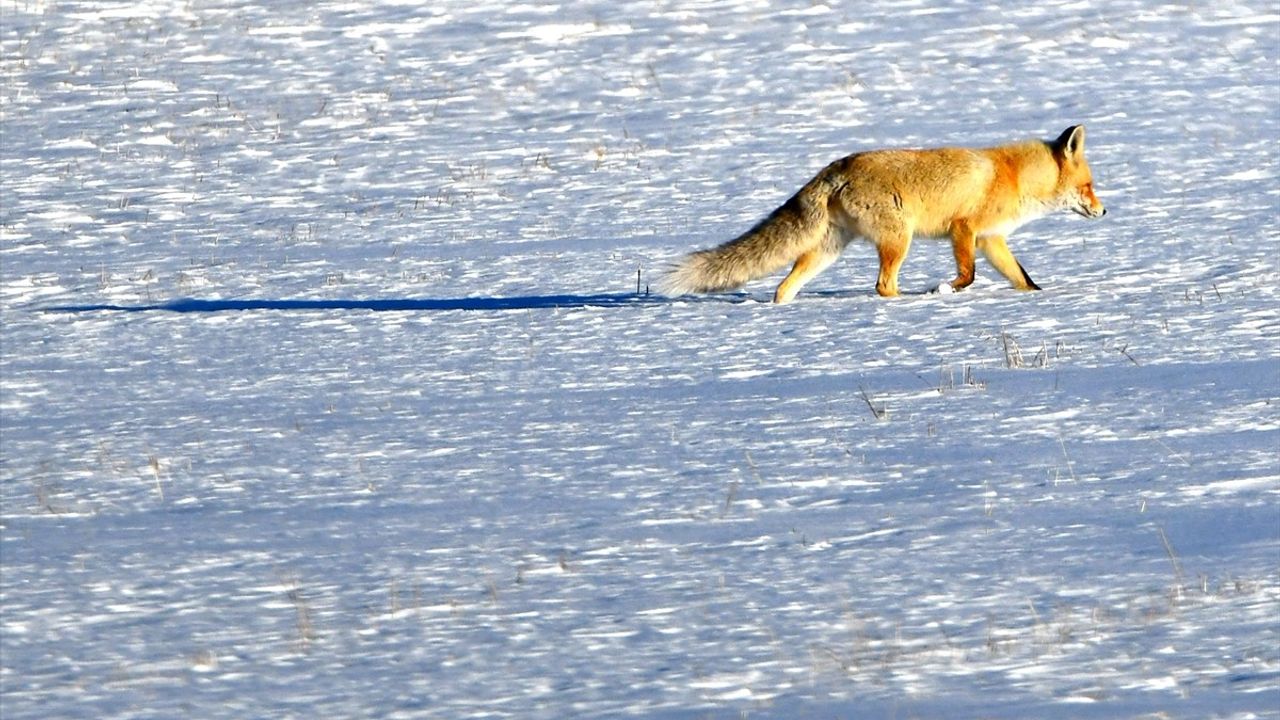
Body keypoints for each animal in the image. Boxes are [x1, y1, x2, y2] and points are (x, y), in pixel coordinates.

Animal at [660, 124, 1100, 301]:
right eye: (1089, 186)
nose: (1104, 210)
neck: (1013, 177)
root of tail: (837, 167)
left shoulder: (991, 239)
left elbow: (1022, 278)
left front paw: (1036, 297)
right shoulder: (965, 229)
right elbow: (968, 275)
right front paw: (945, 291)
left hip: (828, 250)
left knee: (784, 287)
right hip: (898, 240)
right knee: (883, 286)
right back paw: (906, 301)